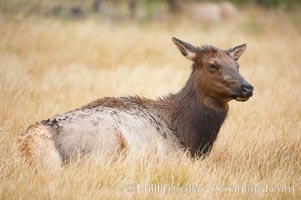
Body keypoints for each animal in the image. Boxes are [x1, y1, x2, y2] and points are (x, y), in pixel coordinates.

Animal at [18, 37, 252, 167]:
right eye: (212, 65)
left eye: (237, 65)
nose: (248, 87)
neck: (189, 137)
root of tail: (30, 142)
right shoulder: (174, 156)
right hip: (105, 145)